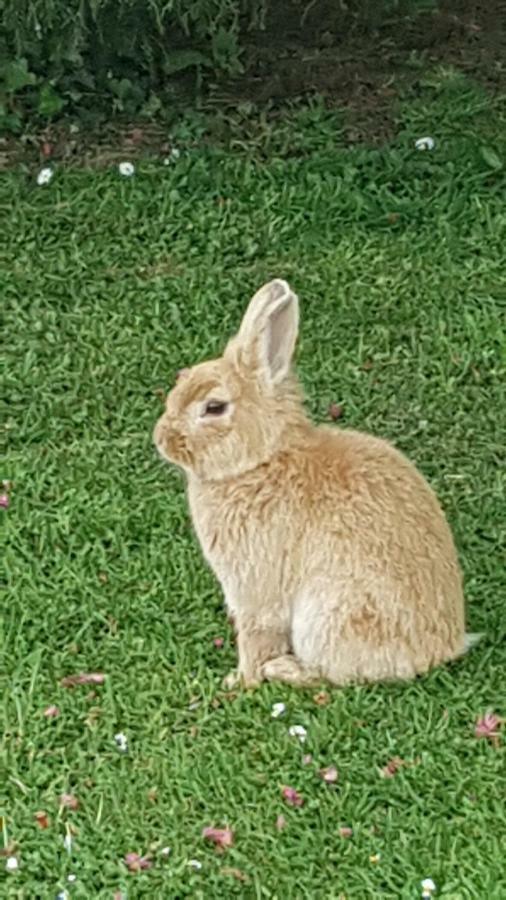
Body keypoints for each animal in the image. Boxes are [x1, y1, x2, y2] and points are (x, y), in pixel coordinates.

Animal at [152, 278, 480, 684]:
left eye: (214, 407)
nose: (161, 439)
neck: (262, 460)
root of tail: (443, 650)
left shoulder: (255, 588)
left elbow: (255, 636)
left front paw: (239, 681)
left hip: (328, 615)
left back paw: (283, 669)